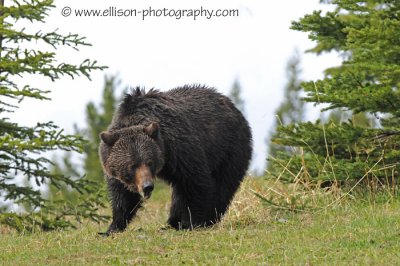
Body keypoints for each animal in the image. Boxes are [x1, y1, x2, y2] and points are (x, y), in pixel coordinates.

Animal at [99, 85, 252, 235]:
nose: (147, 186)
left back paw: (206, 218)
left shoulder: (179, 148)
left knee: (223, 184)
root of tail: (233, 107)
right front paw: (113, 227)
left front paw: (192, 222)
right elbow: (123, 195)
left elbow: (195, 181)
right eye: (132, 165)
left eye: (149, 162)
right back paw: (172, 222)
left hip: (229, 147)